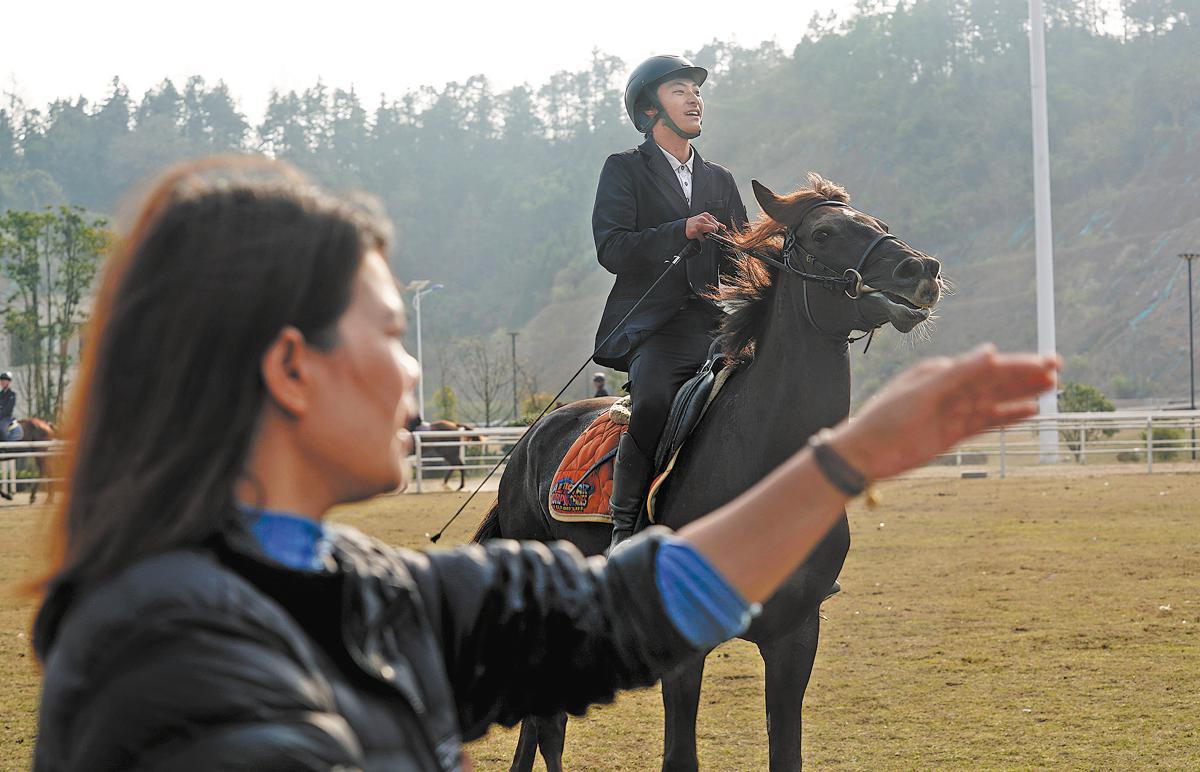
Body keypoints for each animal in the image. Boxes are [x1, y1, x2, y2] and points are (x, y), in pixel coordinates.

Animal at [473, 174, 944, 771]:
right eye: (824, 233)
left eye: (881, 225)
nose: (920, 269)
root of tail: (527, 443)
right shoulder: (684, 643)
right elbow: (680, 756)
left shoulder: (796, 634)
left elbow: (785, 752)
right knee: (544, 720)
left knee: (545, 723)